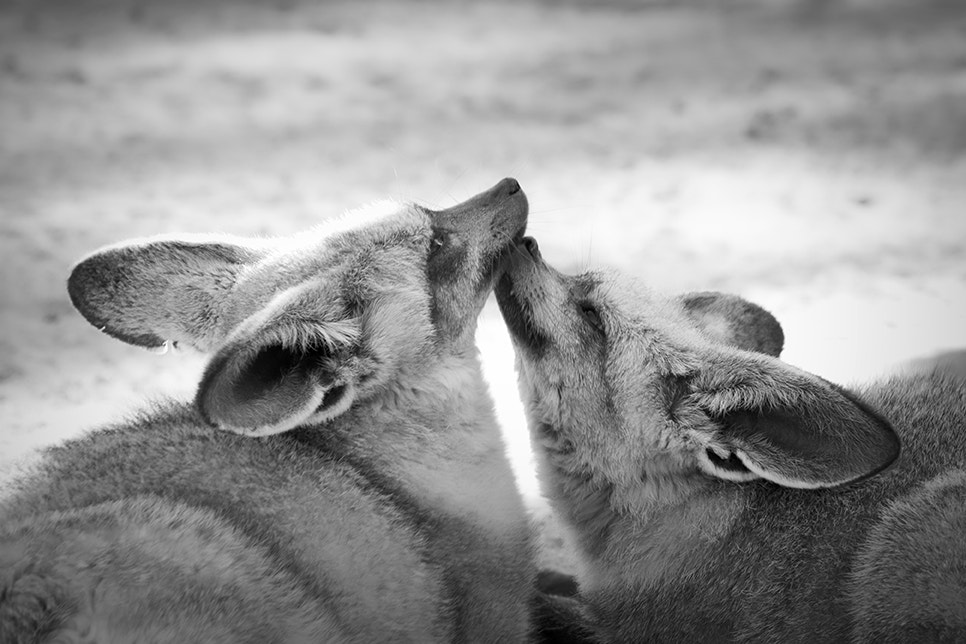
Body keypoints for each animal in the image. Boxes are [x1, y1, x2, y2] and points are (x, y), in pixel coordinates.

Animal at [495, 236, 966, 643]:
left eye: (591, 315)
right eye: (577, 280)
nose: (524, 241)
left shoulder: (628, 633)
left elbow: (539, 606)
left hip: (902, 539)